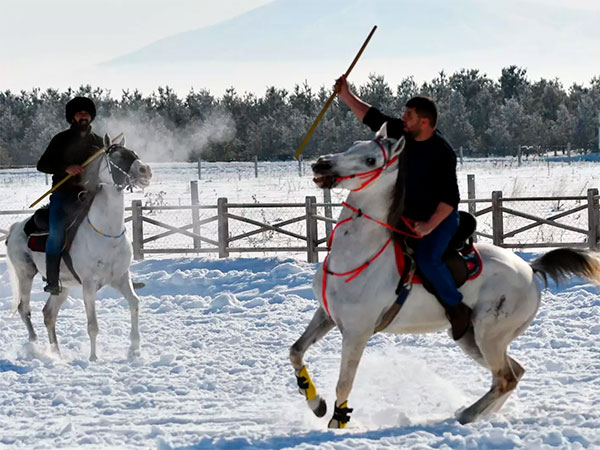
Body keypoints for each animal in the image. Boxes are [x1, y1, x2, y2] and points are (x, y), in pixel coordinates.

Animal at [6, 134, 152, 361]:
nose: (145, 170)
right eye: (116, 157)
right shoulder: (89, 286)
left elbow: (135, 304)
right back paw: (34, 346)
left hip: (61, 287)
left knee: (48, 314)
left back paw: (57, 354)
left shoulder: (121, 278)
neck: (106, 232)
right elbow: (93, 325)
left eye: (134, 153)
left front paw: (134, 349)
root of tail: (15, 228)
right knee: (25, 309)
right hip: (25, 274)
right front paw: (93, 358)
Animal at [289, 128, 600, 428]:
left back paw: (467, 415)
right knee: (513, 373)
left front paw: (336, 422)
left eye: (370, 160)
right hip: (471, 338)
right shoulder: (326, 315)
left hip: (490, 336)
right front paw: (316, 404)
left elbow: (344, 384)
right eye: (352, 145)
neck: (357, 255)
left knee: (505, 377)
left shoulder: (357, 332)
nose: (321, 164)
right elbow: (296, 351)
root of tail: (530, 269)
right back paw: (482, 413)